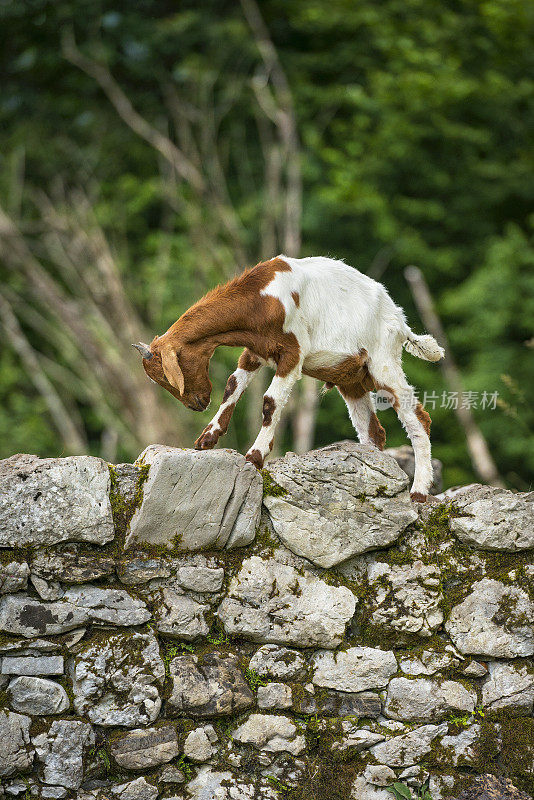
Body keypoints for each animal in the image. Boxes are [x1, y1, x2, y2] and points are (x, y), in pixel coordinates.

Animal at [134, 255, 444, 500]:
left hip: (383, 362)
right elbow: (232, 386)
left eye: (171, 373)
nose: (196, 404)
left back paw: (418, 491)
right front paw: (207, 439)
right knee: (373, 431)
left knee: (418, 417)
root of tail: (399, 319)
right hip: (350, 376)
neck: (263, 298)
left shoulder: (293, 354)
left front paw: (255, 455)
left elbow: (270, 402)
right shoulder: (254, 352)